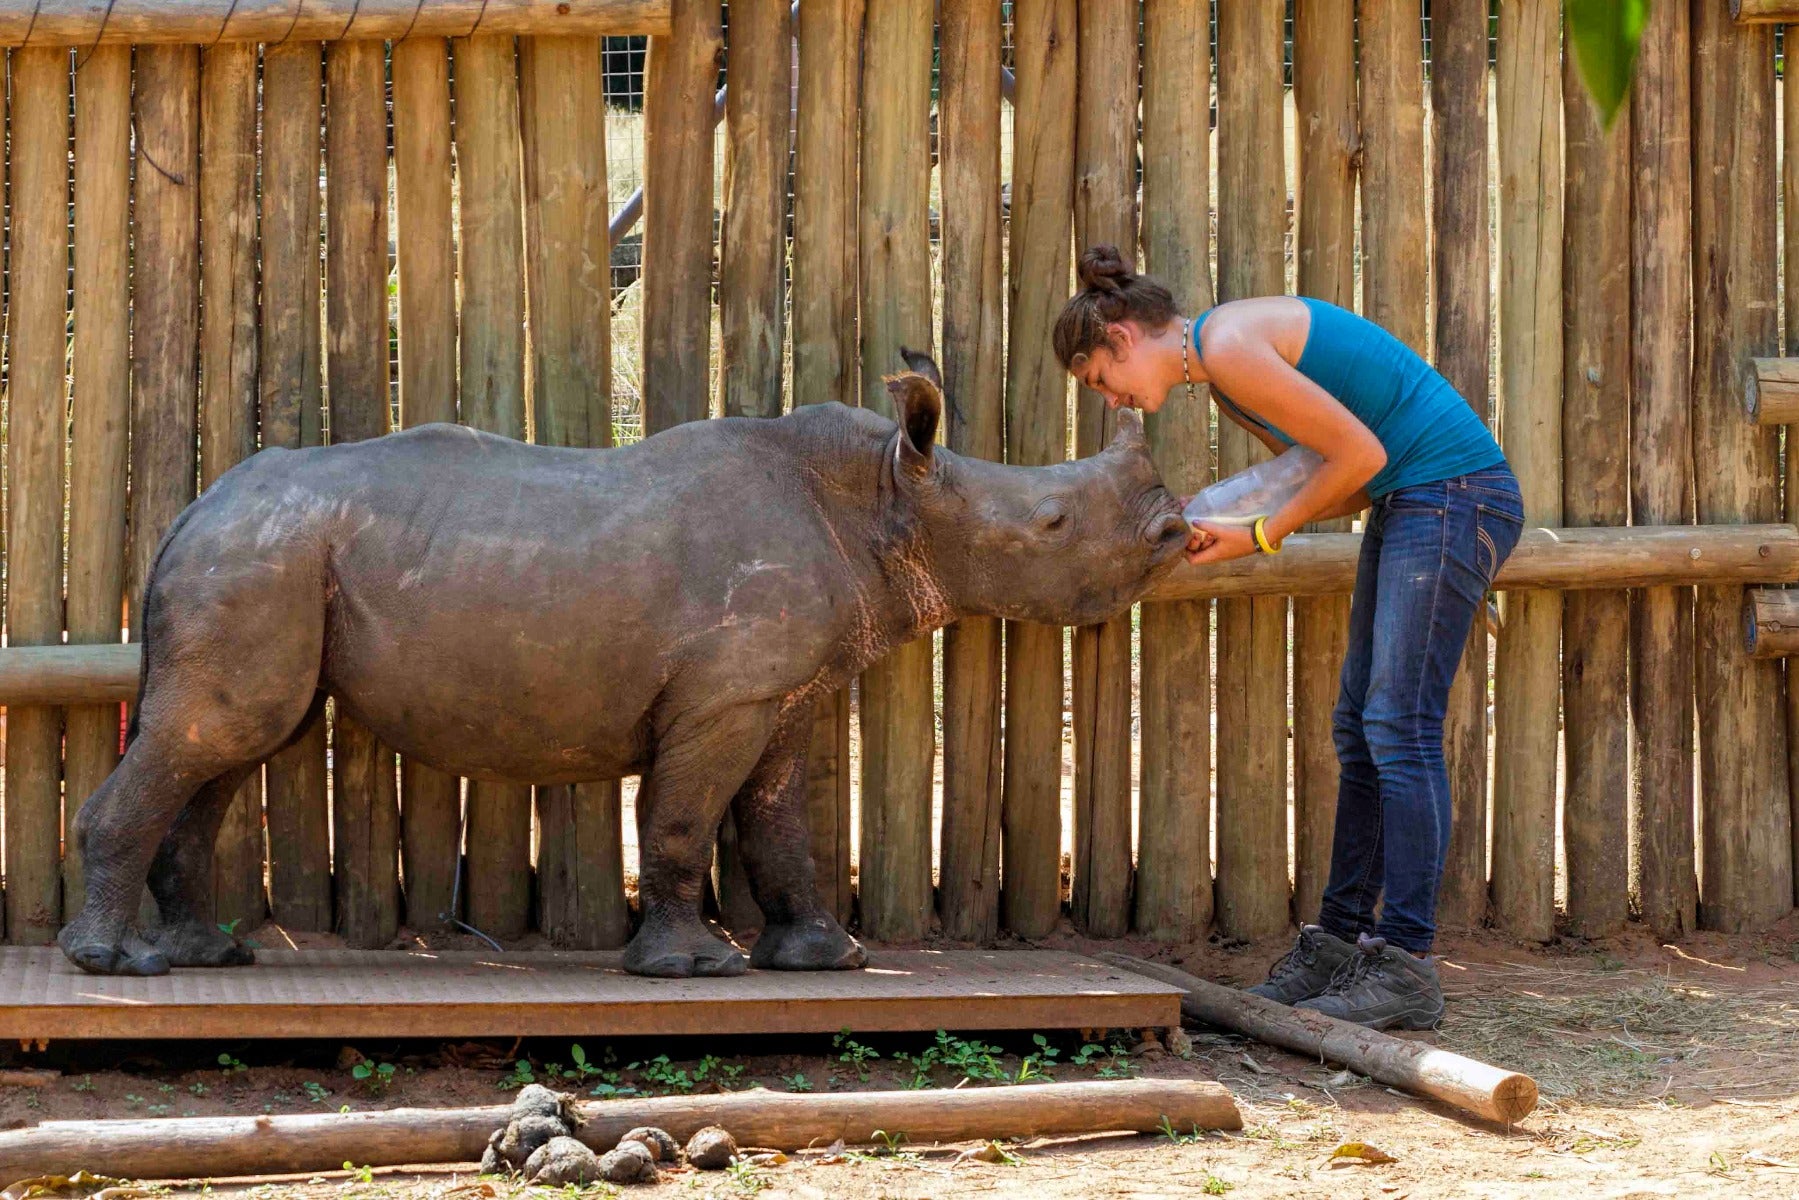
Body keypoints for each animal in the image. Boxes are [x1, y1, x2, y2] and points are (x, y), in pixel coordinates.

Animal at [63, 347, 1194, 978]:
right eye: (1050, 524)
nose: (1174, 528)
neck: (886, 497)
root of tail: (192, 509)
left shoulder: (776, 695)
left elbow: (778, 824)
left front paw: (824, 957)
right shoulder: (721, 698)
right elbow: (687, 819)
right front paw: (692, 970)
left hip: (269, 560)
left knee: (231, 748)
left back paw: (204, 951)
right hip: (257, 557)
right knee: (217, 734)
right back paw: (113, 965)